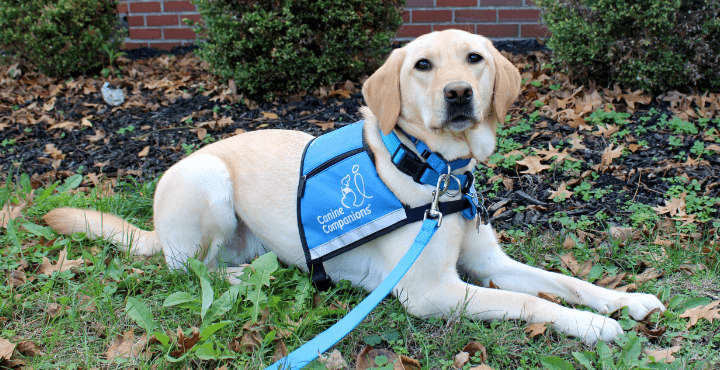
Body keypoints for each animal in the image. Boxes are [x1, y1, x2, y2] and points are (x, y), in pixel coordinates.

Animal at [43, 28, 664, 344]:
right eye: (421, 65)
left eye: (474, 59)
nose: (459, 93)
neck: (435, 170)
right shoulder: (431, 292)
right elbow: (526, 301)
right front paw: (594, 325)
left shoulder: (489, 261)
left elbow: (560, 281)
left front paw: (623, 300)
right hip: (207, 181)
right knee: (191, 269)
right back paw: (244, 274)